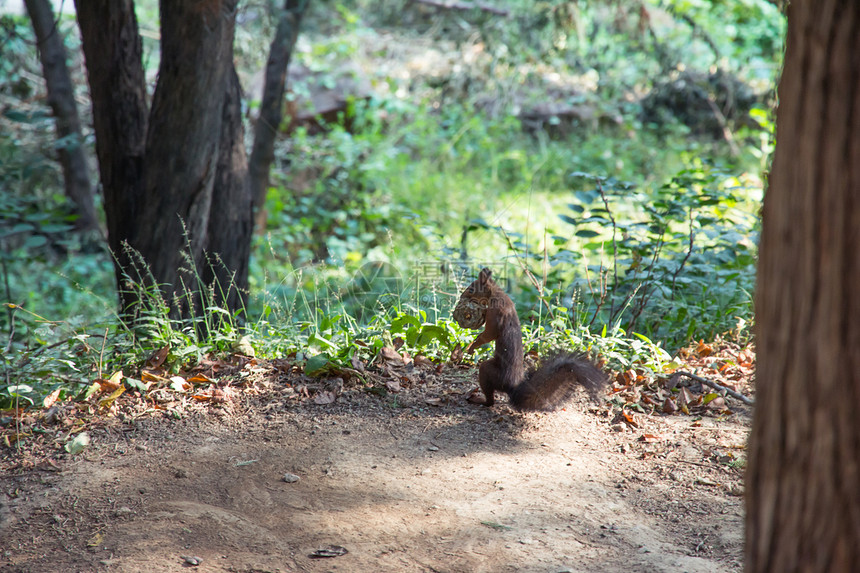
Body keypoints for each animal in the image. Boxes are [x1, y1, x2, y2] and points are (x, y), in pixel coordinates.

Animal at [454, 266, 608, 408]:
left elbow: (489, 334)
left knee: (490, 400)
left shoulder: (496, 312)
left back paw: (478, 399)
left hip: (489, 371)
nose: (461, 297)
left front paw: (472, 346)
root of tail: (511, 387)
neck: (495, 294)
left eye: (471, 289)